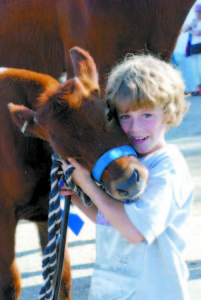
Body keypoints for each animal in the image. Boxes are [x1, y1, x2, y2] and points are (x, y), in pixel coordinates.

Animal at [0, 47, 148, 300]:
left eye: (109, 115)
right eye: (66, 153)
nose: (128, 181)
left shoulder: (47, 209)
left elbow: (62, 276)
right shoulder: (4, 217)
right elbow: (11, 284)